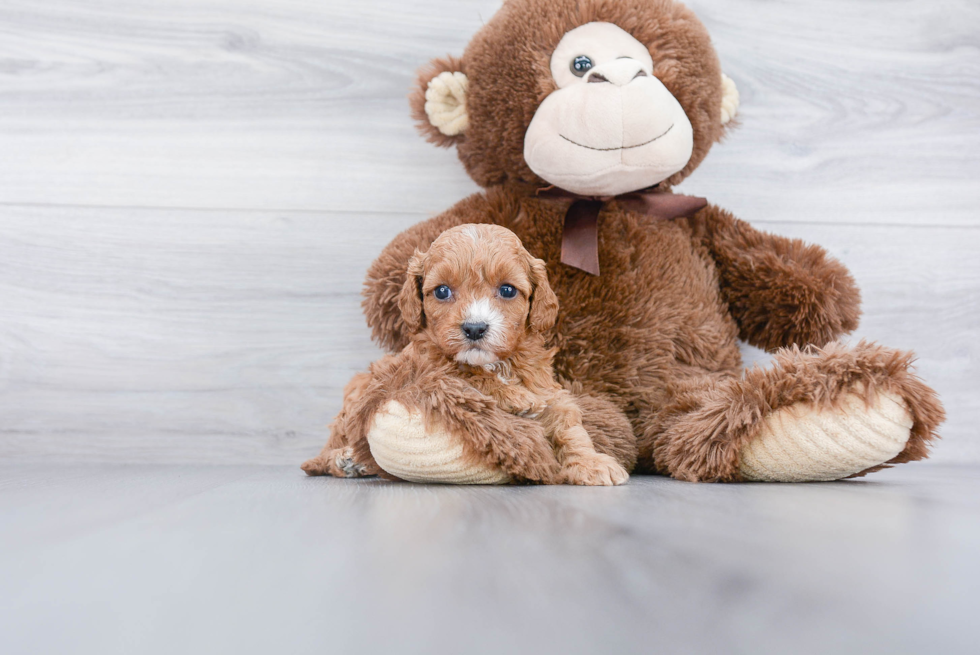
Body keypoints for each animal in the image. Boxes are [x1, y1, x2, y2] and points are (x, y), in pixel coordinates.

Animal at [302, 226, 632, 486]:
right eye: (442, 291)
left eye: (508, 290)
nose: (474, 328)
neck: (496, 363)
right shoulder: (427, 368)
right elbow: (464, 373)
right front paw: (514, 397)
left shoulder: (550, 393)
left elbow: (571, 429)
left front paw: (592, 463)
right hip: (357, 396)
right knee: (332, 445)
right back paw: (344, 459)